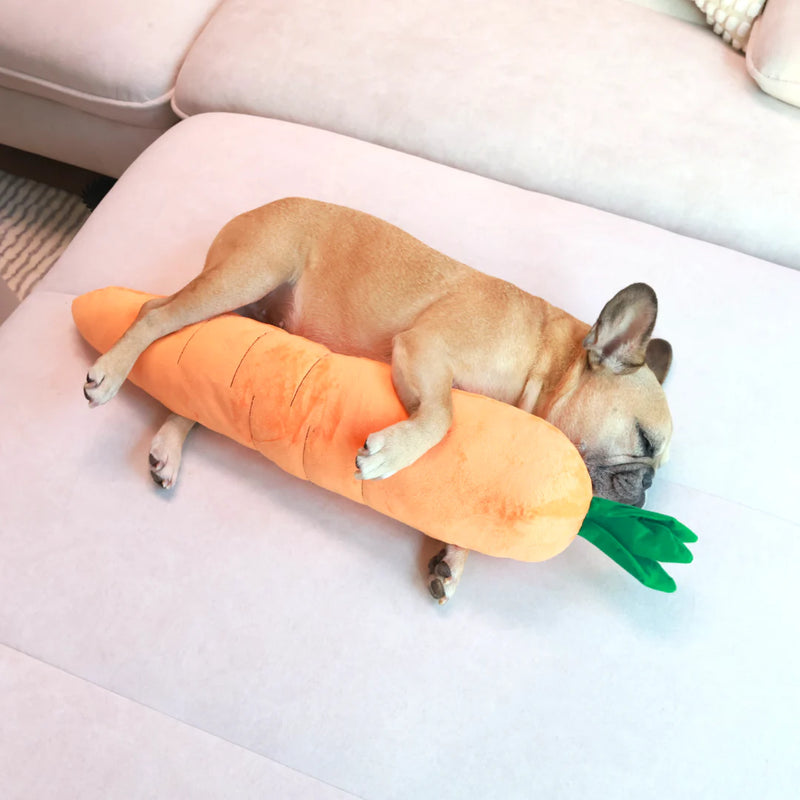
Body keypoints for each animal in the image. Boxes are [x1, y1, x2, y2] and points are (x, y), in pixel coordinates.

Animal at [86, 198, 676, 600]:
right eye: (644, 443)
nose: (647, 488)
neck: (547, 358)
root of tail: (251, 212)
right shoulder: (424, 349)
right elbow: (441, 415)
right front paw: (392, 454)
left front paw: (454, 558)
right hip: (247, 273)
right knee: (155, 314)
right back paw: (110, 373)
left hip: (250, 310)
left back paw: (168, 446)